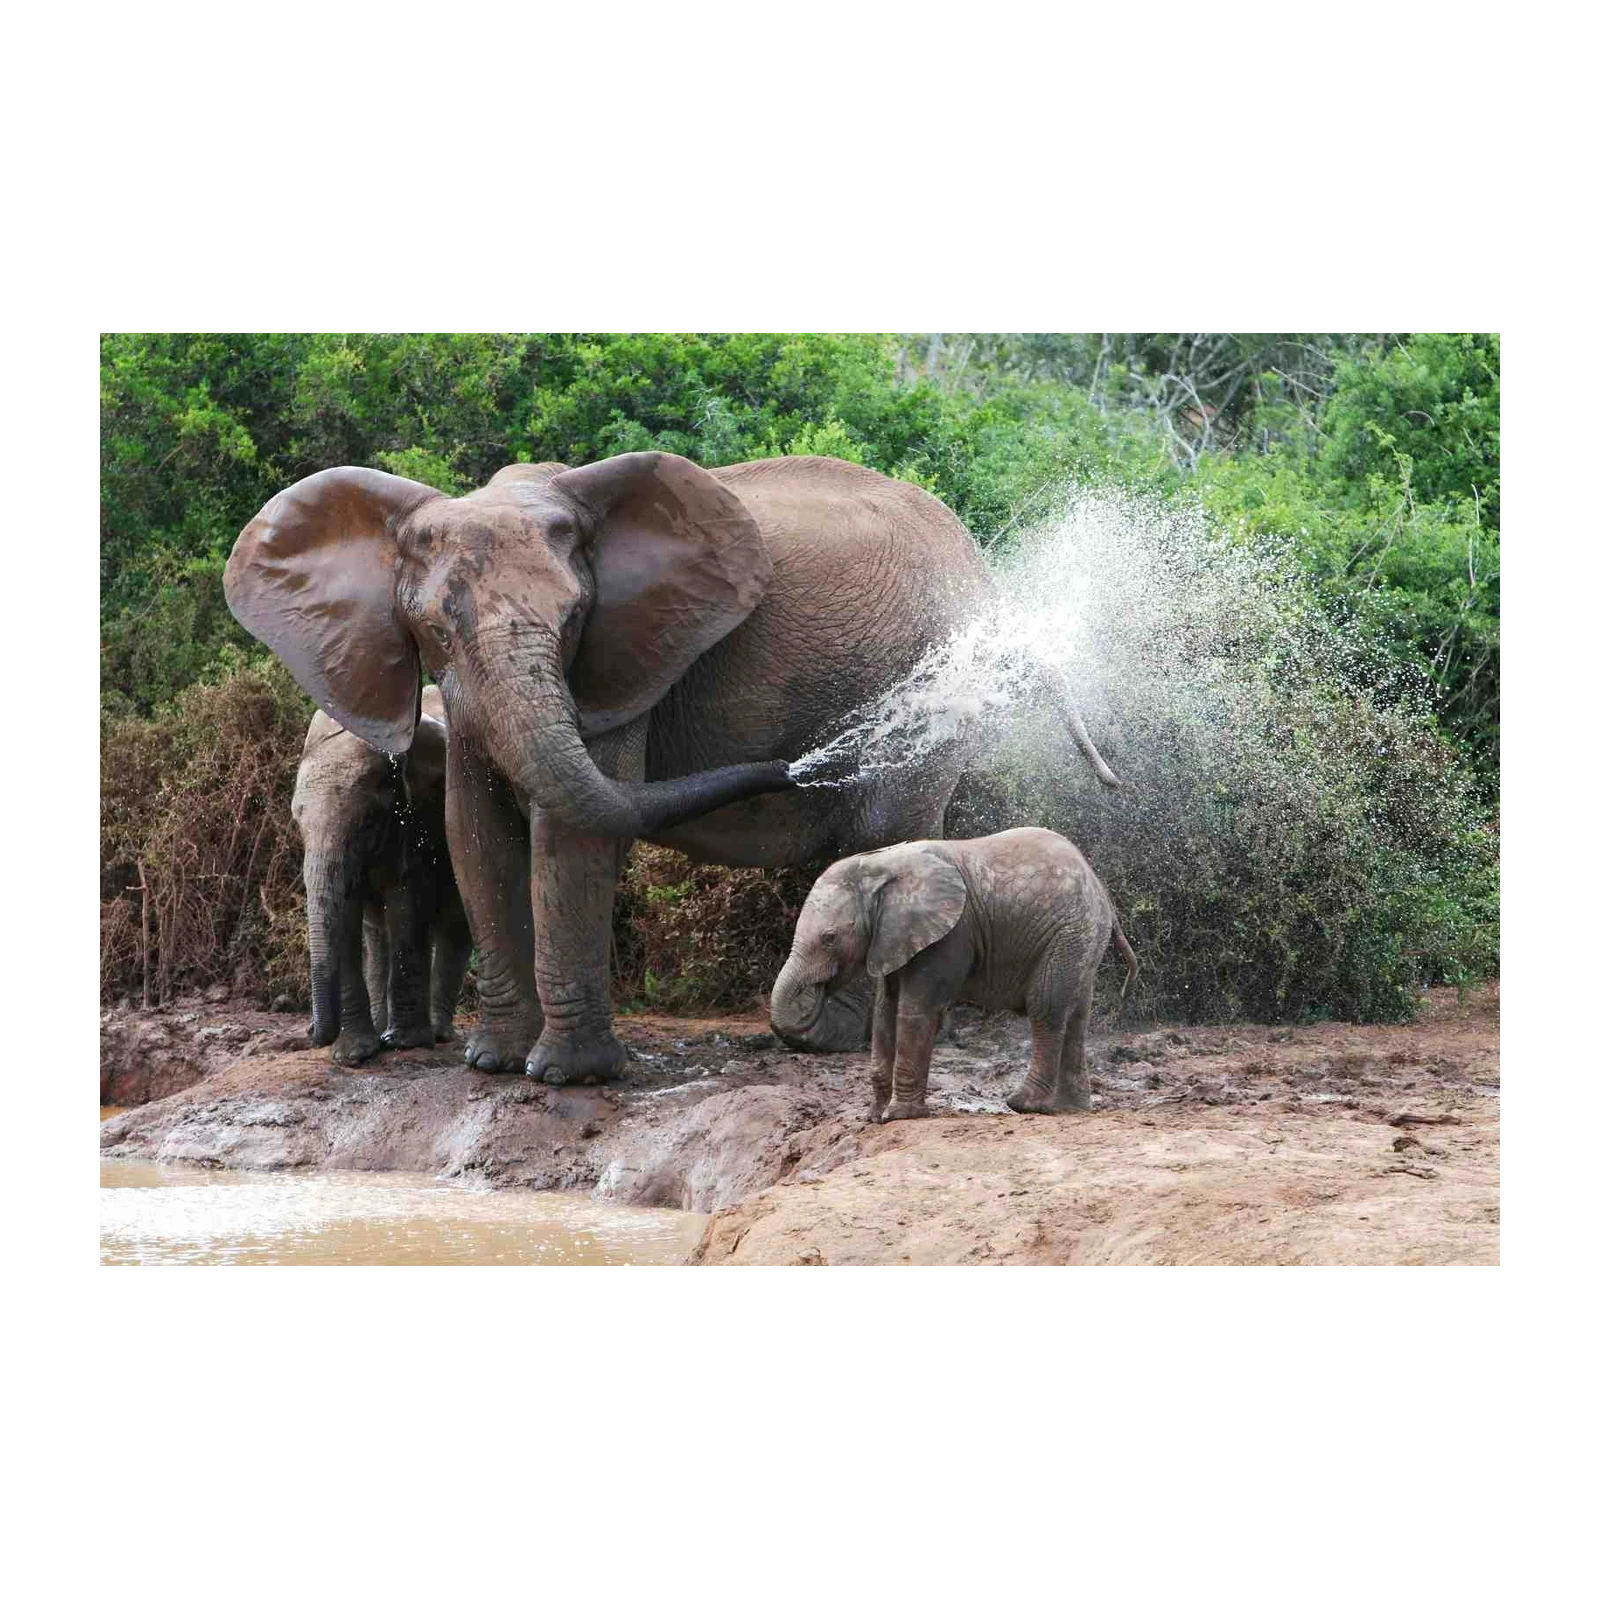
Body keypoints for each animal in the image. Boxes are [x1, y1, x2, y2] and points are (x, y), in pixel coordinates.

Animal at [291, 684, 473, 1063]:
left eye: (367, 821)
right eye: (297, 824)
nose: (311, 1031)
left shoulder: (420, 815)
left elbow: (406, 900)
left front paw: (405, 1043)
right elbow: (346, 914)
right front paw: (354, 1055)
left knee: (453, 922)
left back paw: (435, 1033)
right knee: (377, 933)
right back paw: (381, 1028)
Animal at [769, 828, 1137, 1121]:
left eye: (829, 938)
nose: (819, 990)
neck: (882, 864)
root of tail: (1100, 887)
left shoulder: (950, 934)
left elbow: (916, 1010)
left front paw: (899, 1116)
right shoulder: (894, 937)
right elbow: (885, 1012)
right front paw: (873, 1118)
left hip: (1068, 933)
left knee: (1046, 1006)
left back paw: (1024, 1103)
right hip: (1082, 938)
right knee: (1076, 1016)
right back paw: (1069, 1108)